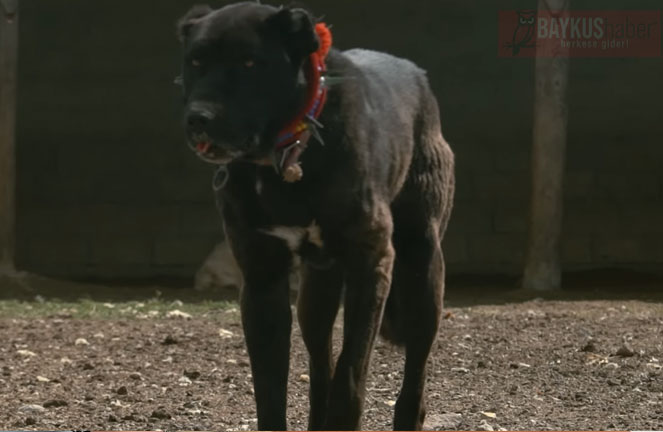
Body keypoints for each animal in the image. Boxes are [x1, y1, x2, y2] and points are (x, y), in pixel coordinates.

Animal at [176, 2, 456, 428]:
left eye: (249, 62)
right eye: (195, 60)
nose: (198, 118)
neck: (287, 157)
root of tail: (418, 77)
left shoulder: (372, 264)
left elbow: (351, 372)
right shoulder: (261, 280)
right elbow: (270, 388)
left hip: (423, 270)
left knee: (415, 368)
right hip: (315, 294)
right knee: (320, 364)